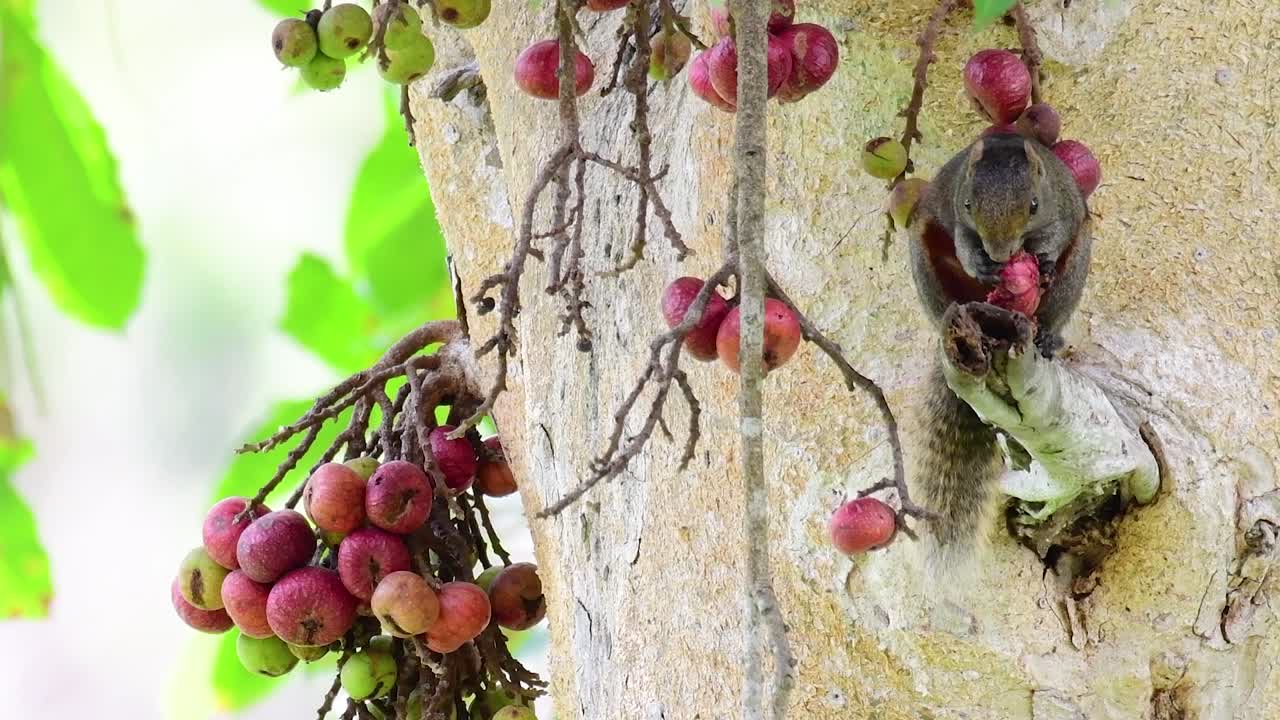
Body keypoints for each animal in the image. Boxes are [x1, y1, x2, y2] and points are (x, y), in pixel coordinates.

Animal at [906, 132, 1091, 580]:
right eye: (969, 205)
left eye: (1034, 205)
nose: (1001, 254)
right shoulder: (956, 214)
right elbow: (962, 242)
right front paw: (979, 260)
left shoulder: (1061, 207)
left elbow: (1054, 235)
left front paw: (1042, 258)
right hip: (925, 255)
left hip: (1079, 258)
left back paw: (1046, 336)